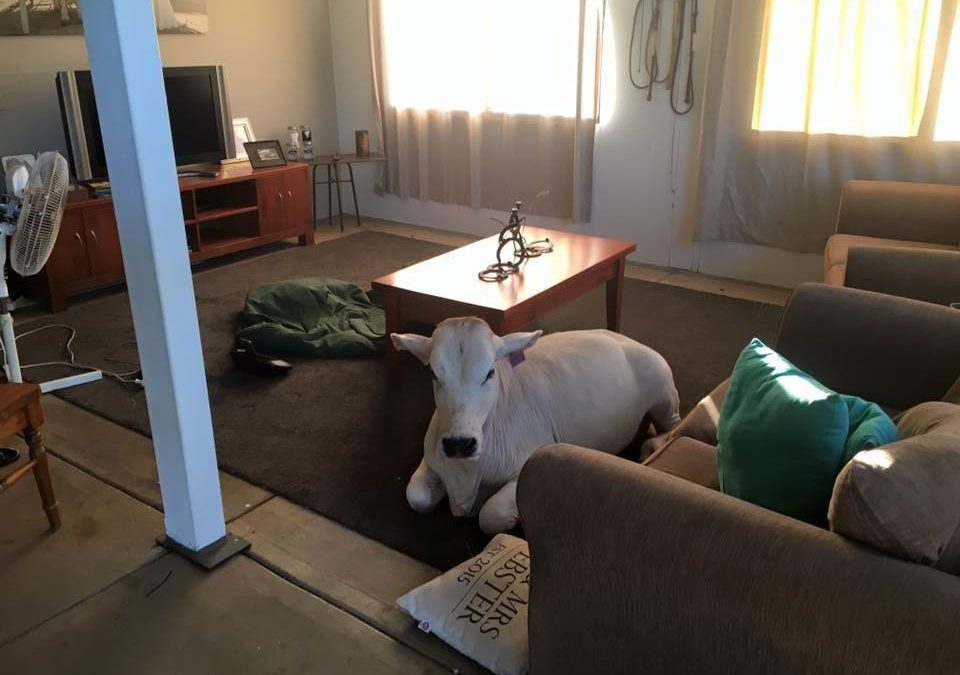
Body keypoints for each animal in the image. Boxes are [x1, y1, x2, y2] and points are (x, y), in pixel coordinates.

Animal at [391, 317, 680, 534]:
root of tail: (627, 340)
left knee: (671, 427)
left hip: (664, 395)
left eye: (489, 372)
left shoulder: (526, 465)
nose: (459, 443)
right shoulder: (432, 457)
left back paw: (651, 446)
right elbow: (416, 496)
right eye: (433, 373)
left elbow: (491, 515)